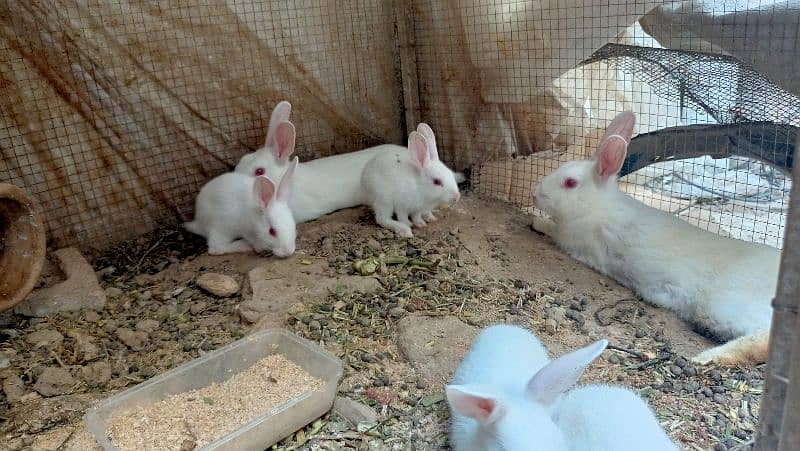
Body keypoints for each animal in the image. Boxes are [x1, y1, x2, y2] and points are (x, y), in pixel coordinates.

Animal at [184, 122, 300, 260]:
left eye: (293, 225)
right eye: (272, 231)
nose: (288, 252)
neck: (255, 215)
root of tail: (198, 222)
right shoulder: (246, 230)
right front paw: (259, 248)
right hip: (221, 228)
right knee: (216, 248)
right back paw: (243, 245)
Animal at [532, 110, 780, 368]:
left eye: (570, 183)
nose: (535, 194)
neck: (597, 207)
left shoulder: (576, 241)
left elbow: (552, 230)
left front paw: (535, 220)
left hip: (727, 307)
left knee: (762, 341)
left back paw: (706, 358)